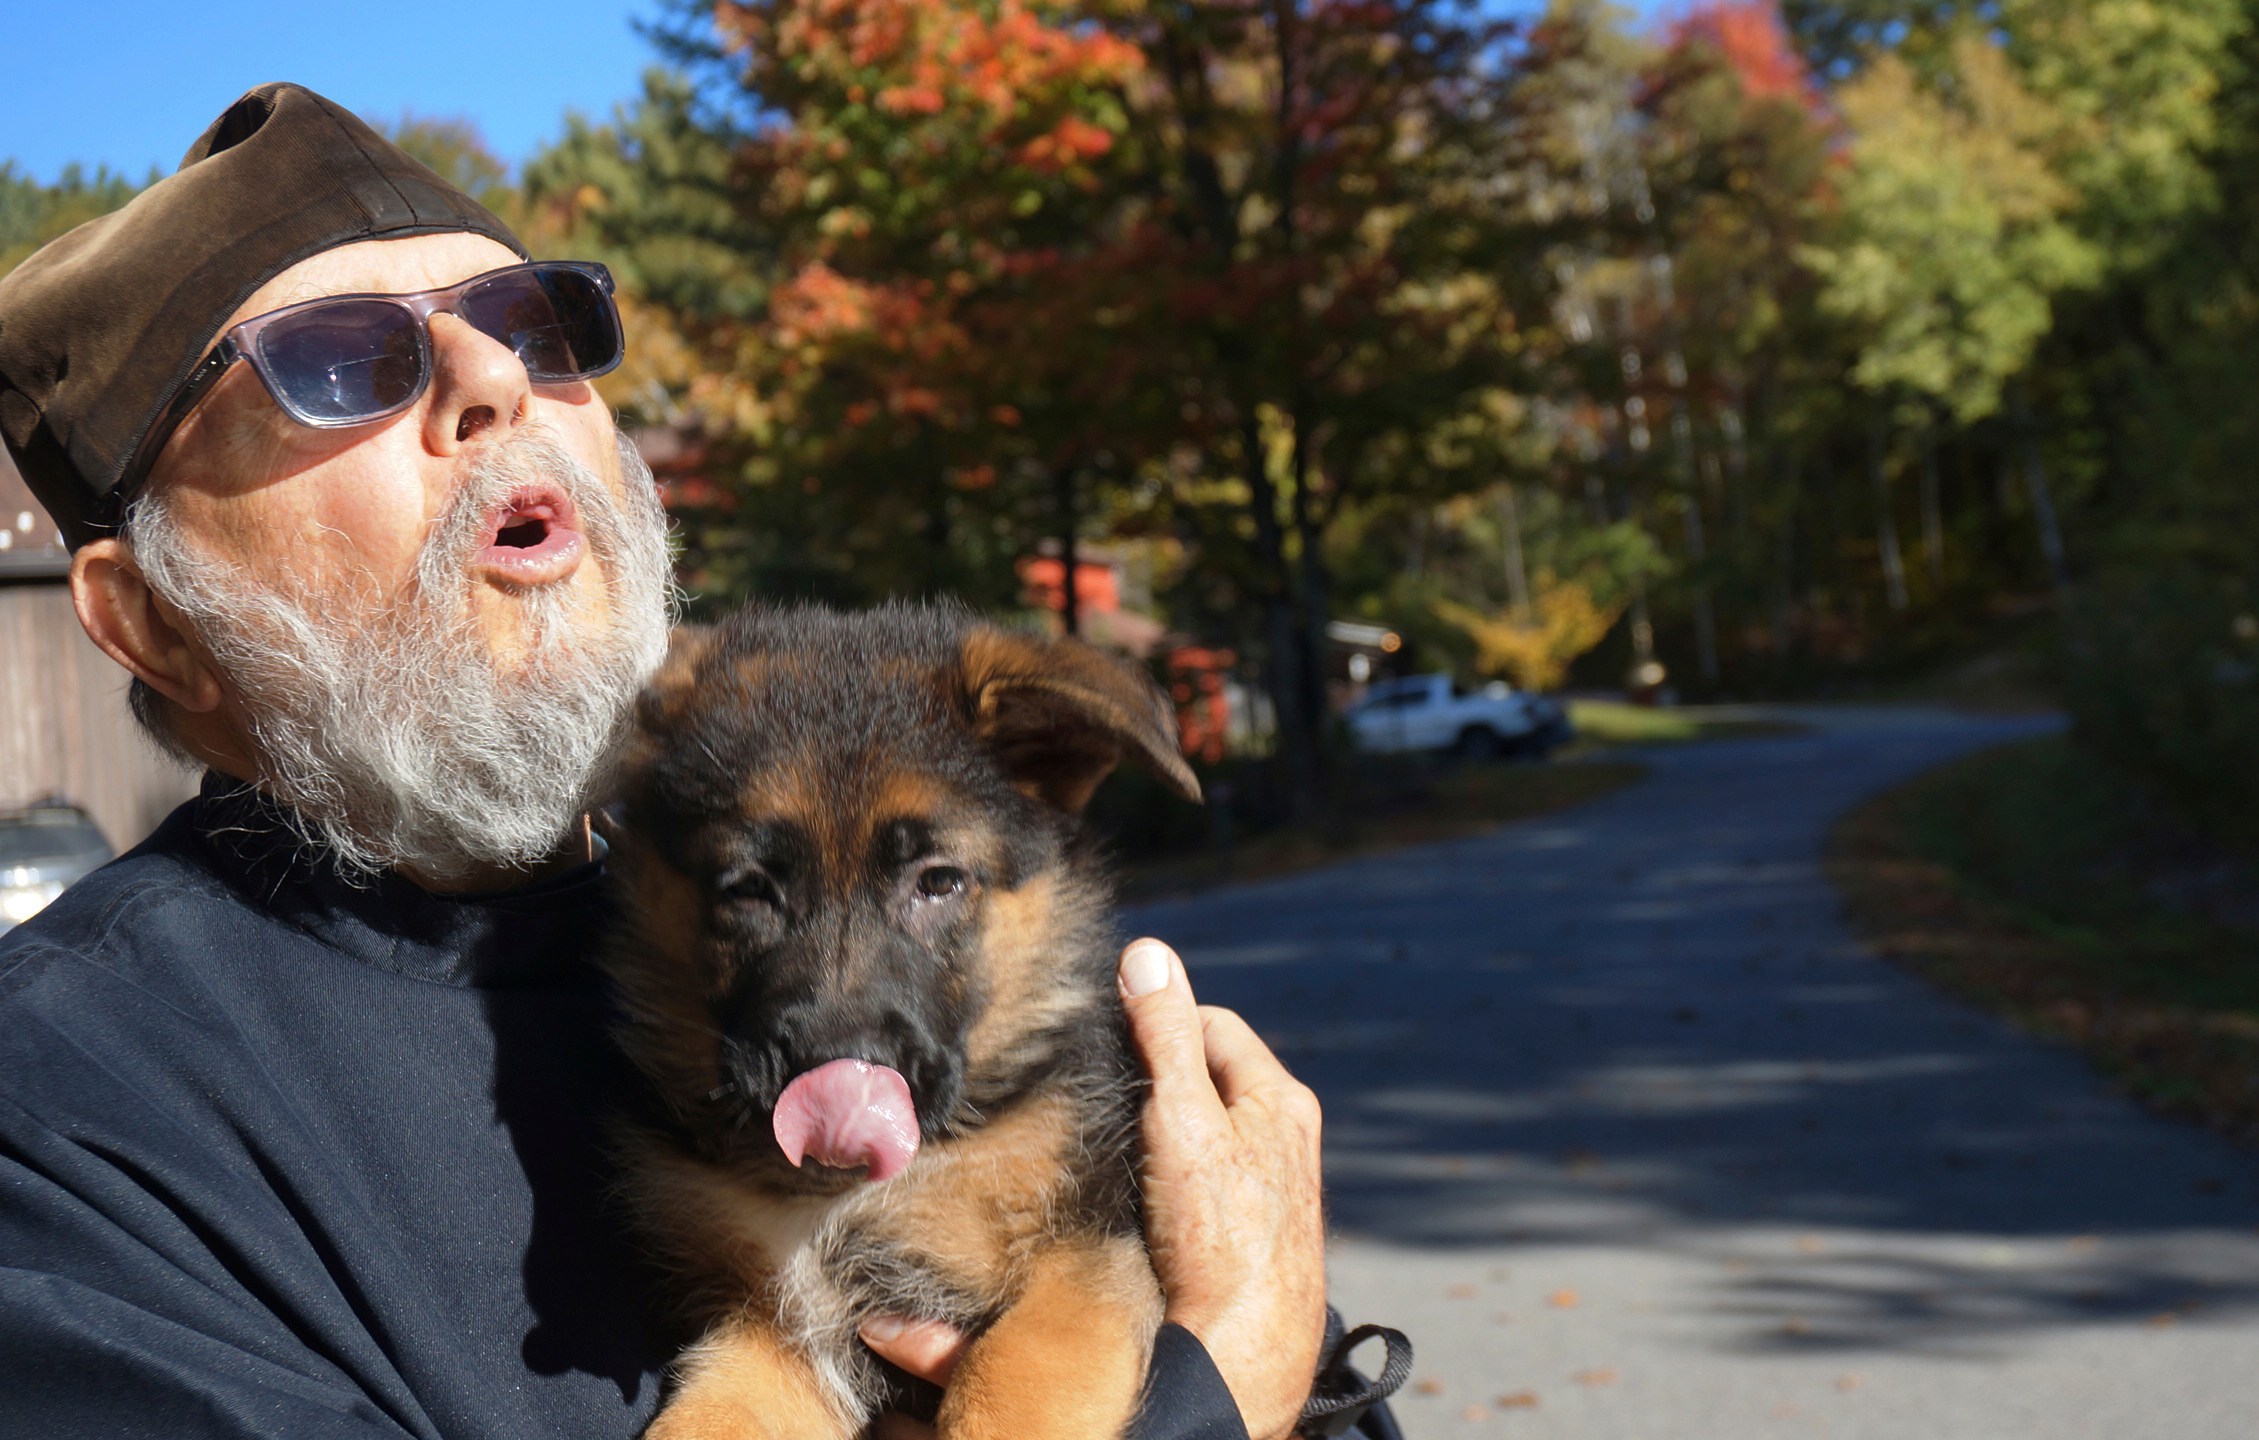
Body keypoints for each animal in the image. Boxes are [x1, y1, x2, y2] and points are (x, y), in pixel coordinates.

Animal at [600, 601, 1201, 1428]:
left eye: (938, 882)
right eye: (747, 888)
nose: (836, 1091)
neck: (849, 1202)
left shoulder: (1083, 1265)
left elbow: (1008, 1386)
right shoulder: (771, 1338)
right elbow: (703, 1422)